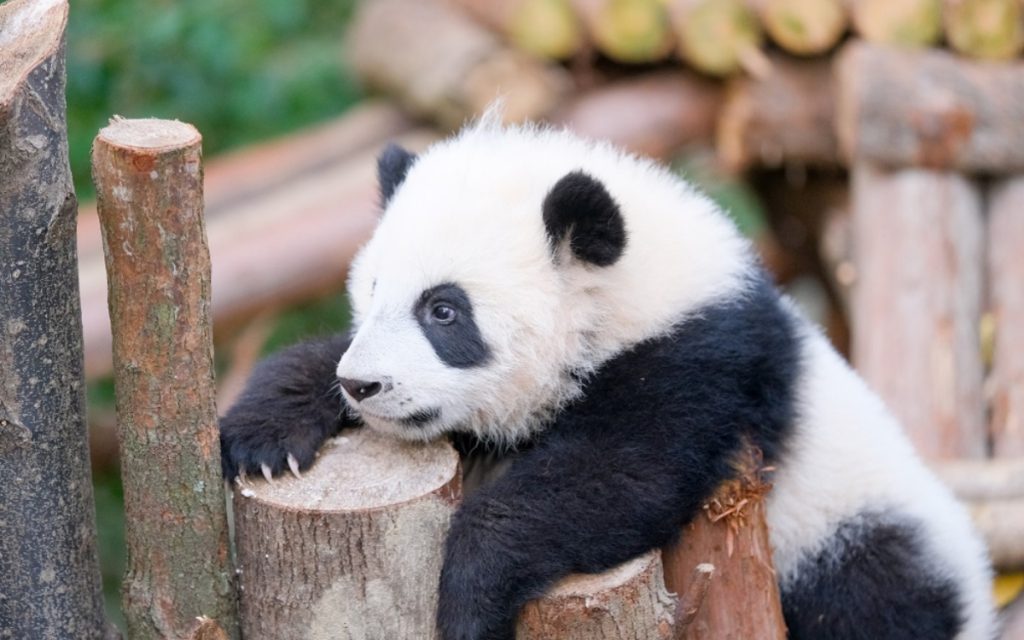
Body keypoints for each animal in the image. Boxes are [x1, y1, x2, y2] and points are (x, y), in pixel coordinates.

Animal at [220, 114, 996, 640]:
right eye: (374, 289)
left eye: (444, 311)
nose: (365, 388)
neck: (630, 294)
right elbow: (313, 358)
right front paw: (263, 436)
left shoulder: (699, 359)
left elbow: (620, 475)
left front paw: (469, 601)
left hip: (856, 536)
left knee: (869, 595)